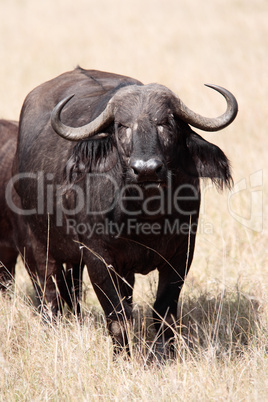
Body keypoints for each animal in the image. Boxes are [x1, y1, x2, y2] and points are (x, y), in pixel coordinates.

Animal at [13, 68, 238, 354]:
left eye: (166, 123)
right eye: (122, 126)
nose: (146, 169)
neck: (144, 218)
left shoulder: (182, 254)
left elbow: (163, 312)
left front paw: (163, 355)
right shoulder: (98, 259)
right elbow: (117, 317)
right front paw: (123, 356)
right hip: (35, 245)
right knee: (49, 292)